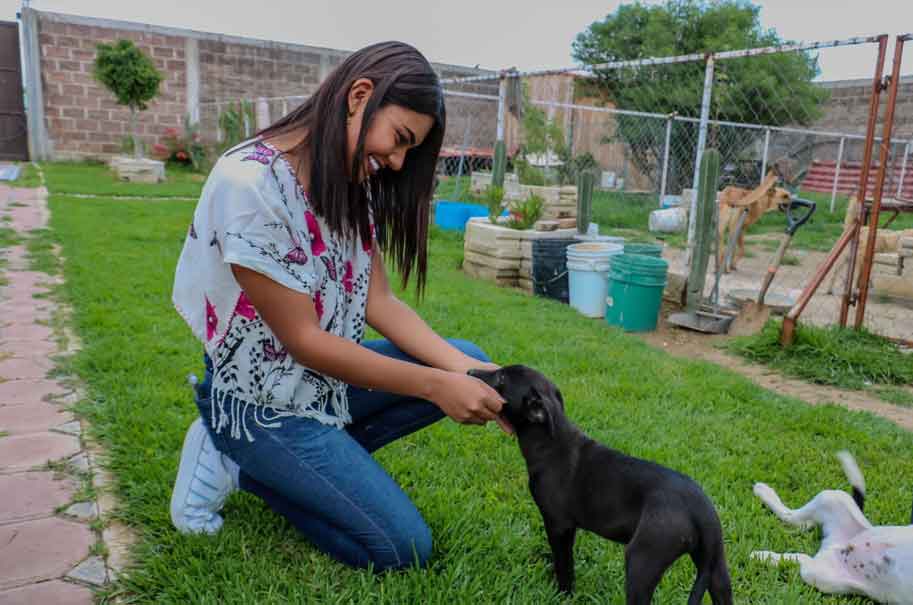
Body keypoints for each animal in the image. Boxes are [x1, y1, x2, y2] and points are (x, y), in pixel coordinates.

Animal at [470, 364, 732, 604]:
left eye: (501, 377)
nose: (471, 372)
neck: (549, 442)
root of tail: (700, 508)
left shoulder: (558, 525)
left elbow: (564, 565)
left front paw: (562, 594)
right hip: (716, 567)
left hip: (642, 560)